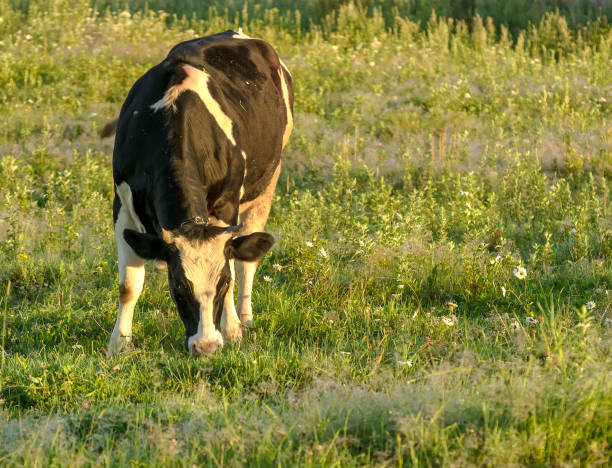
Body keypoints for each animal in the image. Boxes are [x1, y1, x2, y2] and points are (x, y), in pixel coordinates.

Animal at [107, 30, 294, 354]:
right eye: (179, 287)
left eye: (222, 283)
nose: (206, 346)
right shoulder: (122, 205)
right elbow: (128, 285)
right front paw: (119, 344)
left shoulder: (226, 206)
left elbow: (233, 263)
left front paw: (231, 331)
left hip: (269, 181)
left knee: (248, 260)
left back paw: (245, 318)